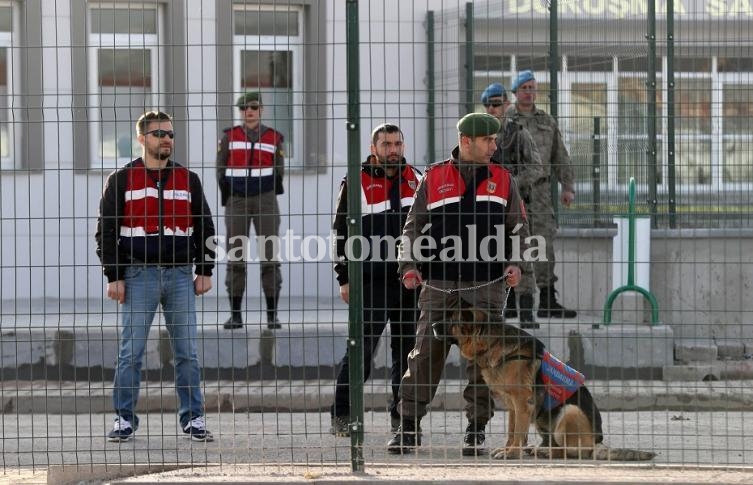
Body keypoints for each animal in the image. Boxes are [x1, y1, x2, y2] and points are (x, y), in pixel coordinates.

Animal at [450, 308, 656, 460]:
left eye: (449, 323)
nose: (438, 326)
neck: (492, 342)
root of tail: (597, 441)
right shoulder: (513, 407)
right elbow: (512, 431)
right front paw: (508, 449)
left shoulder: (522, 404)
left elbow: (518, 433)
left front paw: (512, 453)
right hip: (543, 419)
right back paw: (537, 448)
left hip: (570, 412)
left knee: (573, 451)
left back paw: (545, 451)